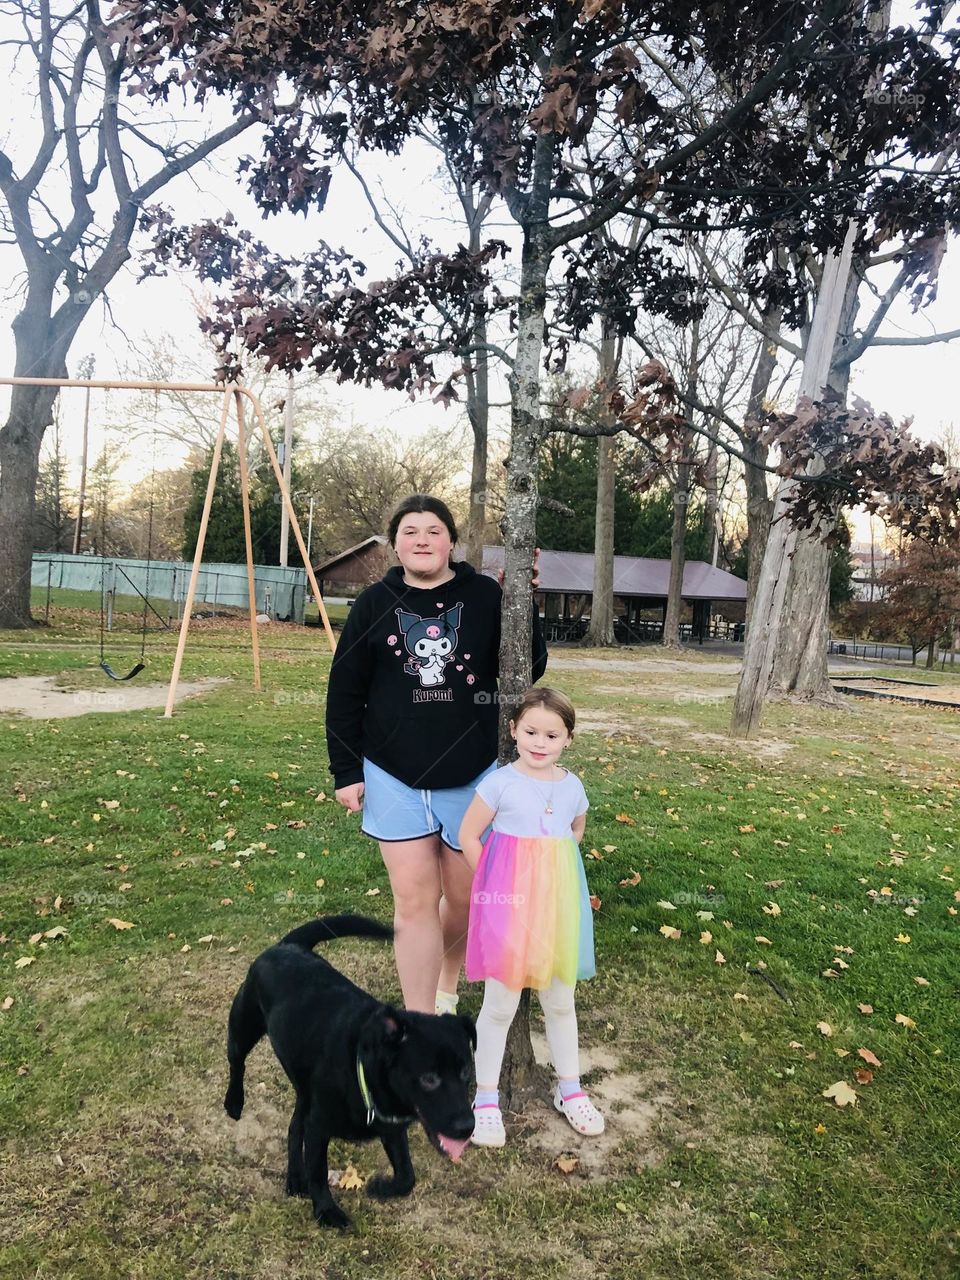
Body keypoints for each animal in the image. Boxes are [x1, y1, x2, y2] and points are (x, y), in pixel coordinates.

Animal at [226, 916, 481, 1223]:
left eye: (466, 1072)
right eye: (429, 1079)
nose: (467, 1127)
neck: (360, 1069)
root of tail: (288, 945)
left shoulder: (391, 1128)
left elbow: (407, 1176)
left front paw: (380, 1187)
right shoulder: (319, 1126)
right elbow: (319, 1173)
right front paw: (327, 1211)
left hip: (304, 1089)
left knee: (294, 1126)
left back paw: (295, 1178)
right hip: (244, 1025)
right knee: (236, 1061)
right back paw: (234, 1103)